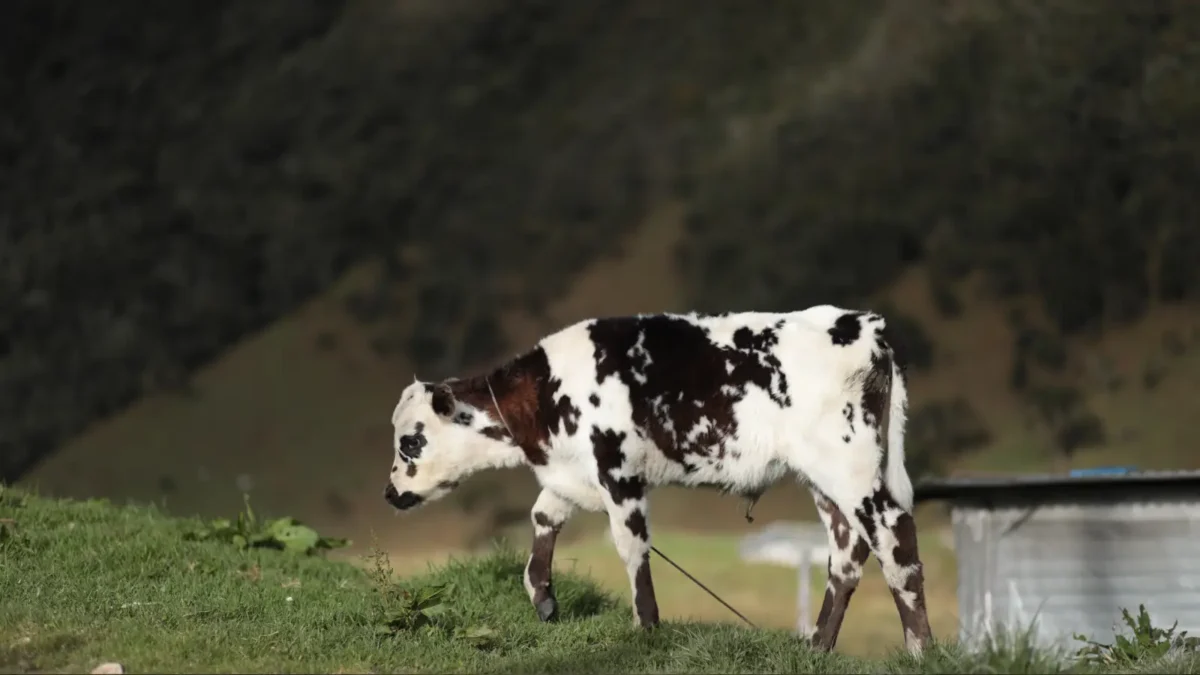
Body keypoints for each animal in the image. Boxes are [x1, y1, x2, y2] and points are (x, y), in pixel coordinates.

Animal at [384, 306, 934, 654]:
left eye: (410, 441)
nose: (390, 493)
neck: (545, 398)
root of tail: (866, 324)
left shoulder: (618, 470)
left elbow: (631, 546)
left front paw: (647, 628)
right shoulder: (573, 473)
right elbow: (543, 515)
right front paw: (543, 597)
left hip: (850, 466)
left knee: (895, 540)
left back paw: (920, 649)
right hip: (826, 479)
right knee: (847, 555)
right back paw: (817, 648)